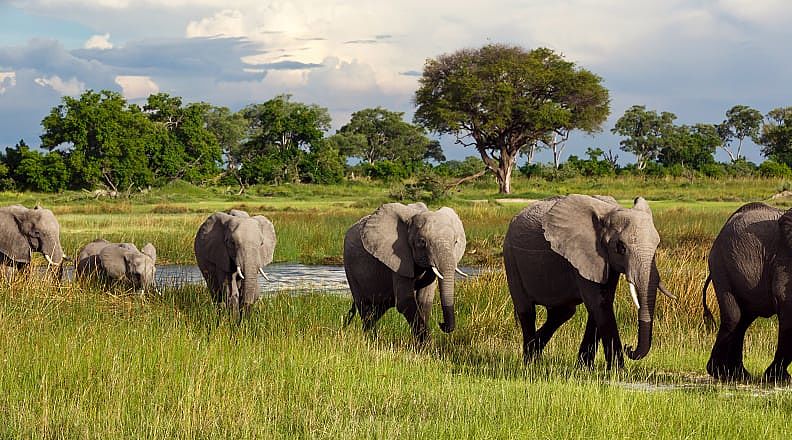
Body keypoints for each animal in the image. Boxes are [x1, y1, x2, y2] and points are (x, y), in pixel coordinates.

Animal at [344, 201, 468, 342]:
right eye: (422, 242)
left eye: (456, 242)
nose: (441, 324)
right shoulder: (398, 259)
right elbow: (405, 301)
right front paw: (427, 344)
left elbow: (425, 300)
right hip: (349, 267)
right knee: (365, 307)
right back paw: (372, 340)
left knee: (377, 310)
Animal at [504, 194, 672, 370]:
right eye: (621, 247)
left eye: (657, 246)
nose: (630, 348)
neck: (611, 212)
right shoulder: (583, 254)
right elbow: (599, 304)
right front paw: (618, 371)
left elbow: (602, 302)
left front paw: (584, 368)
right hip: (510, 258)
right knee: (527, 311)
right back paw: (529, 363)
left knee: (563, 312)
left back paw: (535, 353)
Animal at [704, 203, 792, 382]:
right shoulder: (785, 259)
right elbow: (787, 306)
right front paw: (779, 378)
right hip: (722, 267)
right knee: (734, 317)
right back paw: (720, 373)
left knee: (743, 321)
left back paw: (739, 374)